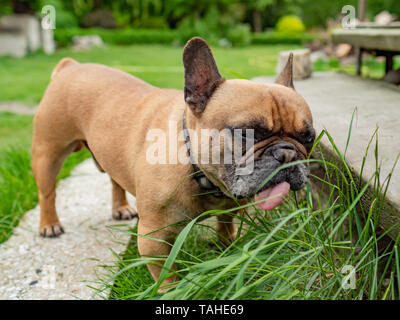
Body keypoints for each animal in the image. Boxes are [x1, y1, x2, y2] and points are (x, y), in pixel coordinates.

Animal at [32, 37, 316, 290]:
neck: (198, 171)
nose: (287, 154)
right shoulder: (153, 237)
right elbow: (166, 272)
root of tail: (70, 65)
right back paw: (49, 224)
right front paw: (172, 290)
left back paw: (121, 208)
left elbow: (225, 225)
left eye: (309, 138)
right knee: (47, 192)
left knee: (114, 180)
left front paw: (228, 248)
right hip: (48, 152)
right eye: (248, 134)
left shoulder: (230, 206)